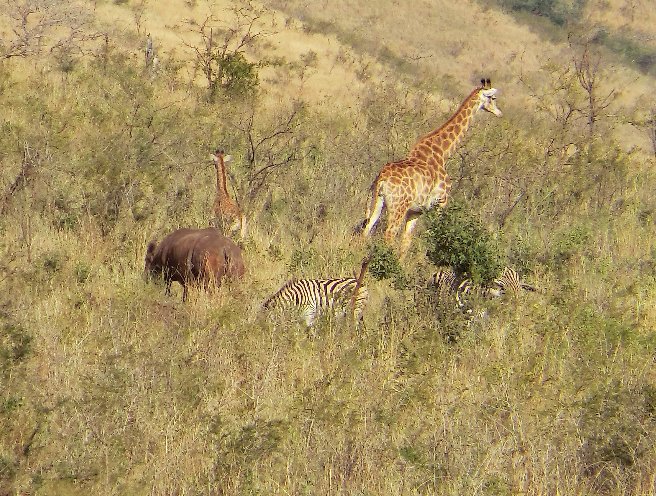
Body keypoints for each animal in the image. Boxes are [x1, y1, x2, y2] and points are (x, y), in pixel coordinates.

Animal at [362, 78, 504, 256]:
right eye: (493, 98)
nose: (499, 113)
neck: (442, 153)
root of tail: (382, 179)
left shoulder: (416, 210)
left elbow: (406, 243)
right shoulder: (440, 203)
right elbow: (434, 237)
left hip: (376, 201)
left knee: (366, 229)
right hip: (398, 207)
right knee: (389, 235)